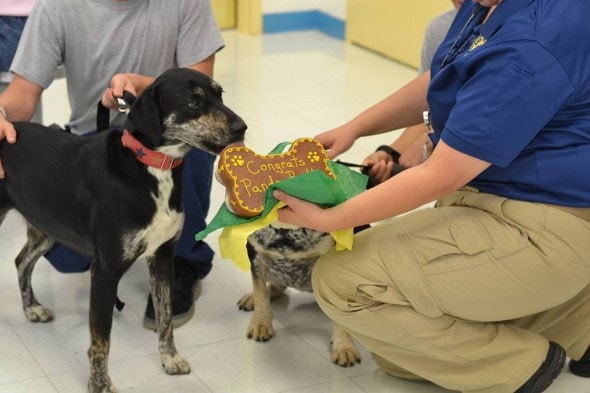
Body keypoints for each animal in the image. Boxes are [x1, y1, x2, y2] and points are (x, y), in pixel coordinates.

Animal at [0, 68, 247, 392]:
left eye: (220, 94)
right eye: (194, 102)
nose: (242, 128)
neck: (151, 167)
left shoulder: (162, 258)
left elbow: (166, 318)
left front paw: (169, 359)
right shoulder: (105, 271)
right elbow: (101, 339)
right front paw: (100, 384)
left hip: (46, 226)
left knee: (21, 261)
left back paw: (31, 308)